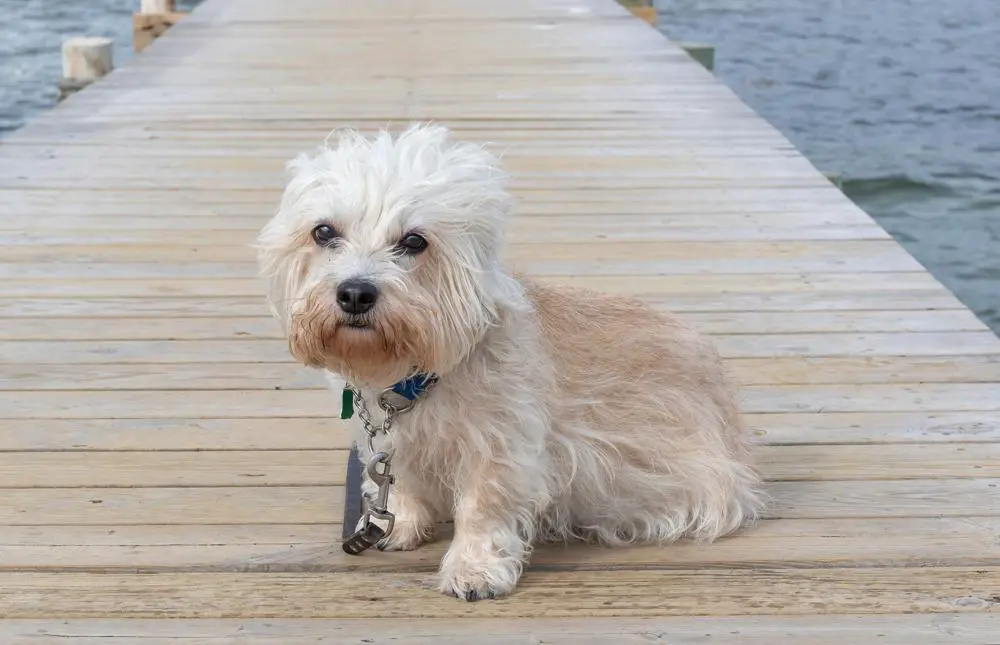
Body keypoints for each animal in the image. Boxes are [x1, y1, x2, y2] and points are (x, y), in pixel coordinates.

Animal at [256, 123, 764, 600]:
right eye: (324, 232)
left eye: (415, 241)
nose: (355, 293)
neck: (414, 377)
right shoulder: (390, 441)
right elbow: (403, 482)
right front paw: (401, 522)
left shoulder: (501, 449)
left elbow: (482, 508)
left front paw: (474, 570)